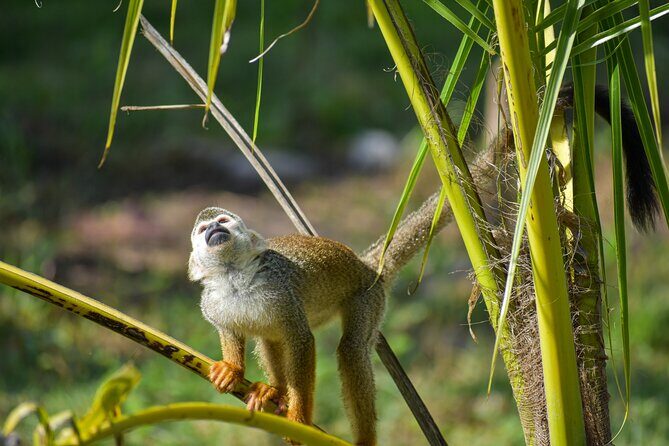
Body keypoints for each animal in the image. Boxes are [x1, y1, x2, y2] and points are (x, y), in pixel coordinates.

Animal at [187, 85, 658, 446]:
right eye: (204, 229)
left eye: (224, 222)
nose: (213, 232)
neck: (234, 277)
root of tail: (365, 262)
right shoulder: (210, 303)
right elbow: (241, 333)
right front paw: (233, 369)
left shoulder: (278, 285)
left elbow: (302, 341)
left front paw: (300, 415)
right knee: (272, 338)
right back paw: (273, 391)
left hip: (366, 298)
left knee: (348, 349)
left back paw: (357, 435)